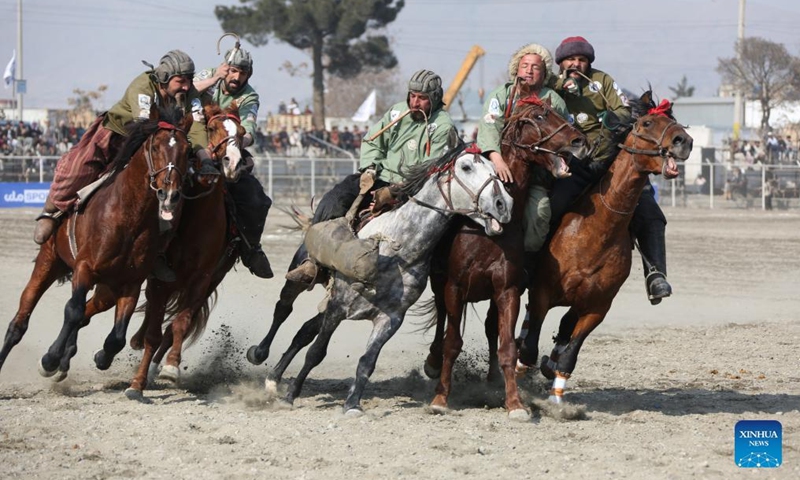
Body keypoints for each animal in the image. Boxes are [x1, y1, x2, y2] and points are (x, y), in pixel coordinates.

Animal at [0, 105, 193, 378]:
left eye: (187, 151)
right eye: (155, 147)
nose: (170, 194)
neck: (128, 218)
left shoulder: (130, 283)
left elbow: (117, 337)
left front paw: (100, 357)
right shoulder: (84, 268)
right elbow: (73, 311)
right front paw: (49, 359)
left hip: (106, 288)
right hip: (49, 261)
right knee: (21, 319)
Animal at [418, 95, 588, 418]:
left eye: (558, 111)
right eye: (540, 116)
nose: (579, 141)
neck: (489, 228)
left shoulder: (508, 290)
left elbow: (507, 346)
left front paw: (515, 403)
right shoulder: (455, 286)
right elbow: (452, 343)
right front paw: (440, 399)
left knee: (489, 329)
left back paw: (493, 378)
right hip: (439, 281)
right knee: (442, 319)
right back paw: (432, 363)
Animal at [520, 92, 692, 404]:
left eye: (673, 120)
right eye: (647, 122)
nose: (683, 141)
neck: (595, 234)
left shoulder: (596, 308)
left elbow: (569, 356)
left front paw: (557, 400)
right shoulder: (542, 292)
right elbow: (528, 348)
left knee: (564, 328)